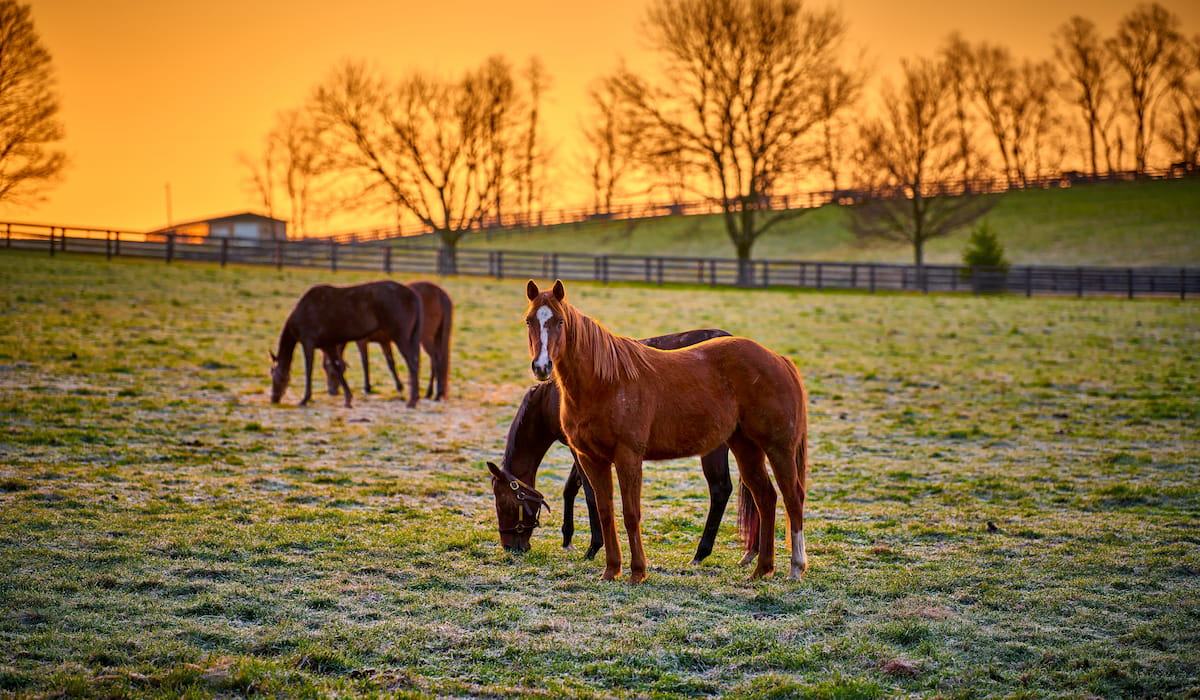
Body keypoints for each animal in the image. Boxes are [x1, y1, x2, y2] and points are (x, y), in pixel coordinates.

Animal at [270, 280, 422, 408]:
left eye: (274, 376)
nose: (273, 399)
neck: (302, 312)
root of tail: (413, 295)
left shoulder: (308, 343)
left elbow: (309, 371)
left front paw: (305, 399)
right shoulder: (328, 345)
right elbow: (337, 368)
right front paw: (348, 398)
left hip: (400, 336)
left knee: (412, 364)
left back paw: (411, 401)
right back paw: (414, 398)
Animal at [322, 280, 453, 401]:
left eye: (328, 369)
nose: (331, 392)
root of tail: (439, 292)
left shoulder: (362, 342)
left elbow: (365, 363)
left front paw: (367, 388)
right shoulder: (384, 342)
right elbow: (391, 363)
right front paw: (399, 387)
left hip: (426, 339)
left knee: (436, 360)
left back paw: (436, 394)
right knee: (435, 361)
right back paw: (430, 393)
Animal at [487, 328, 761, 563]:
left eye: (503, 503)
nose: (510, 547)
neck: (550, 398)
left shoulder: (580, 450)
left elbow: (590, 493)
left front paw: (593, 547)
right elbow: (570, 489)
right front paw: (568, 538)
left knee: (721, 489)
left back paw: (701, 553)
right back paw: (752, 552)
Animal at [523, 279, 808, 583]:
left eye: (560, 321)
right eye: (529, 320)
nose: (541, 366)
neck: (605, 381)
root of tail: (777, 358)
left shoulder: (628, 456)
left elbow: (631, 513)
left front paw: (637, 572)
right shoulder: (592, 459)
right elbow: (605, 511)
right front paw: (611, 570)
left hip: (778, 448)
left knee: (793, 498)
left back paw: (795, 567)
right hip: (746, 448)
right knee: (766, 498)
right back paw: (761, 569)